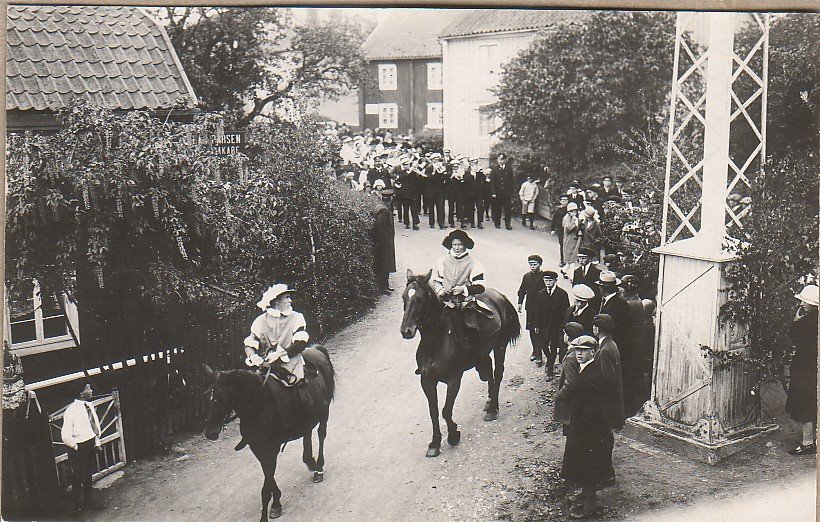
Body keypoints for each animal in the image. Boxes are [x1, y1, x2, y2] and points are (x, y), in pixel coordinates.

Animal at [203, 344, 334, 516]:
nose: (210, 433)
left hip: (324, 413)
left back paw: (318, 469)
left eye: (223, 397)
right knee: (307, 433)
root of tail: (316, 350)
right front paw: (276, 502)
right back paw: (310, 461)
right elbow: (268, 475)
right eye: (207, 396)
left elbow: (268, 476)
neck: (258, 404)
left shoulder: (271, 447)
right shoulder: (257, 448)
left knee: (321, 435)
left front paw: (274, 504)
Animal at [402, 268, 520, 456]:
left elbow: (445, 411)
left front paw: (453, 435)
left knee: (498, 374)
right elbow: (433, 412)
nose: (406, 330)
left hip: (499, 347)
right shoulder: (427, 381)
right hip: (483, 354)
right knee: (489, 374)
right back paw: (489, 402)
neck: (437, 340)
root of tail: (499, 297)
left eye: (420, 298)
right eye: (403, 297)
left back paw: (493, 409)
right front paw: (435, 444)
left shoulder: (454, 380)